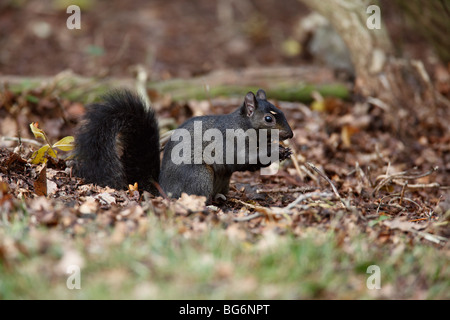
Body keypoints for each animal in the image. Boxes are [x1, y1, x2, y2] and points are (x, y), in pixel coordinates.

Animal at [75, 89, 294, 200]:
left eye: (282, 111)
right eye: (268, 119)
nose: (290, 134)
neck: (244, 126)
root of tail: (164, 189)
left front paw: (284, 151)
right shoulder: (230, 142)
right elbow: (242, 159)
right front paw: (275, 151)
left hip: (222, 181)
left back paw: (221, 199)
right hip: (200, 176)